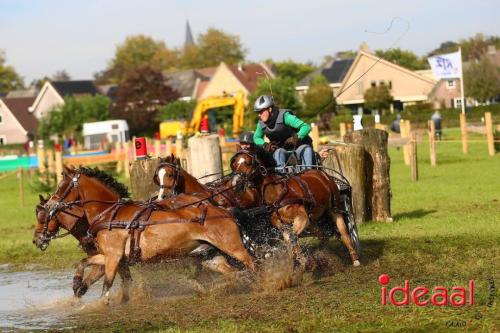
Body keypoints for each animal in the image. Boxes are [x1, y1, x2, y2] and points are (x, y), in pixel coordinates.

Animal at [33, 165, 256, 302]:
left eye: (61, 187)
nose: (36, 240)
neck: (109, 214)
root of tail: (223, 210)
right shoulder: (113, 256)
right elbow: (83, 263)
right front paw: (77, 284)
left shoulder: (113, 257)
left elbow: (107, 284)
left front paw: (103, 304)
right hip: (208, 254)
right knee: (232, 272)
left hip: (232, 247)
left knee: (252, 264)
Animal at [230, 149, 360, 266]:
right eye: (235, 165)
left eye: (248, 163)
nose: (235, 183)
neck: (278, 193)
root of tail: (323, 174)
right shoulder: (281, 222)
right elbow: (288, 239)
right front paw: (299, 259)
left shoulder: (301, 217)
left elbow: (292, 237)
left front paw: (303, 260)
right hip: (312, 219)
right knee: (322, 235)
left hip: (335, 209)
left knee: (345, 234)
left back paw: (355, 259)